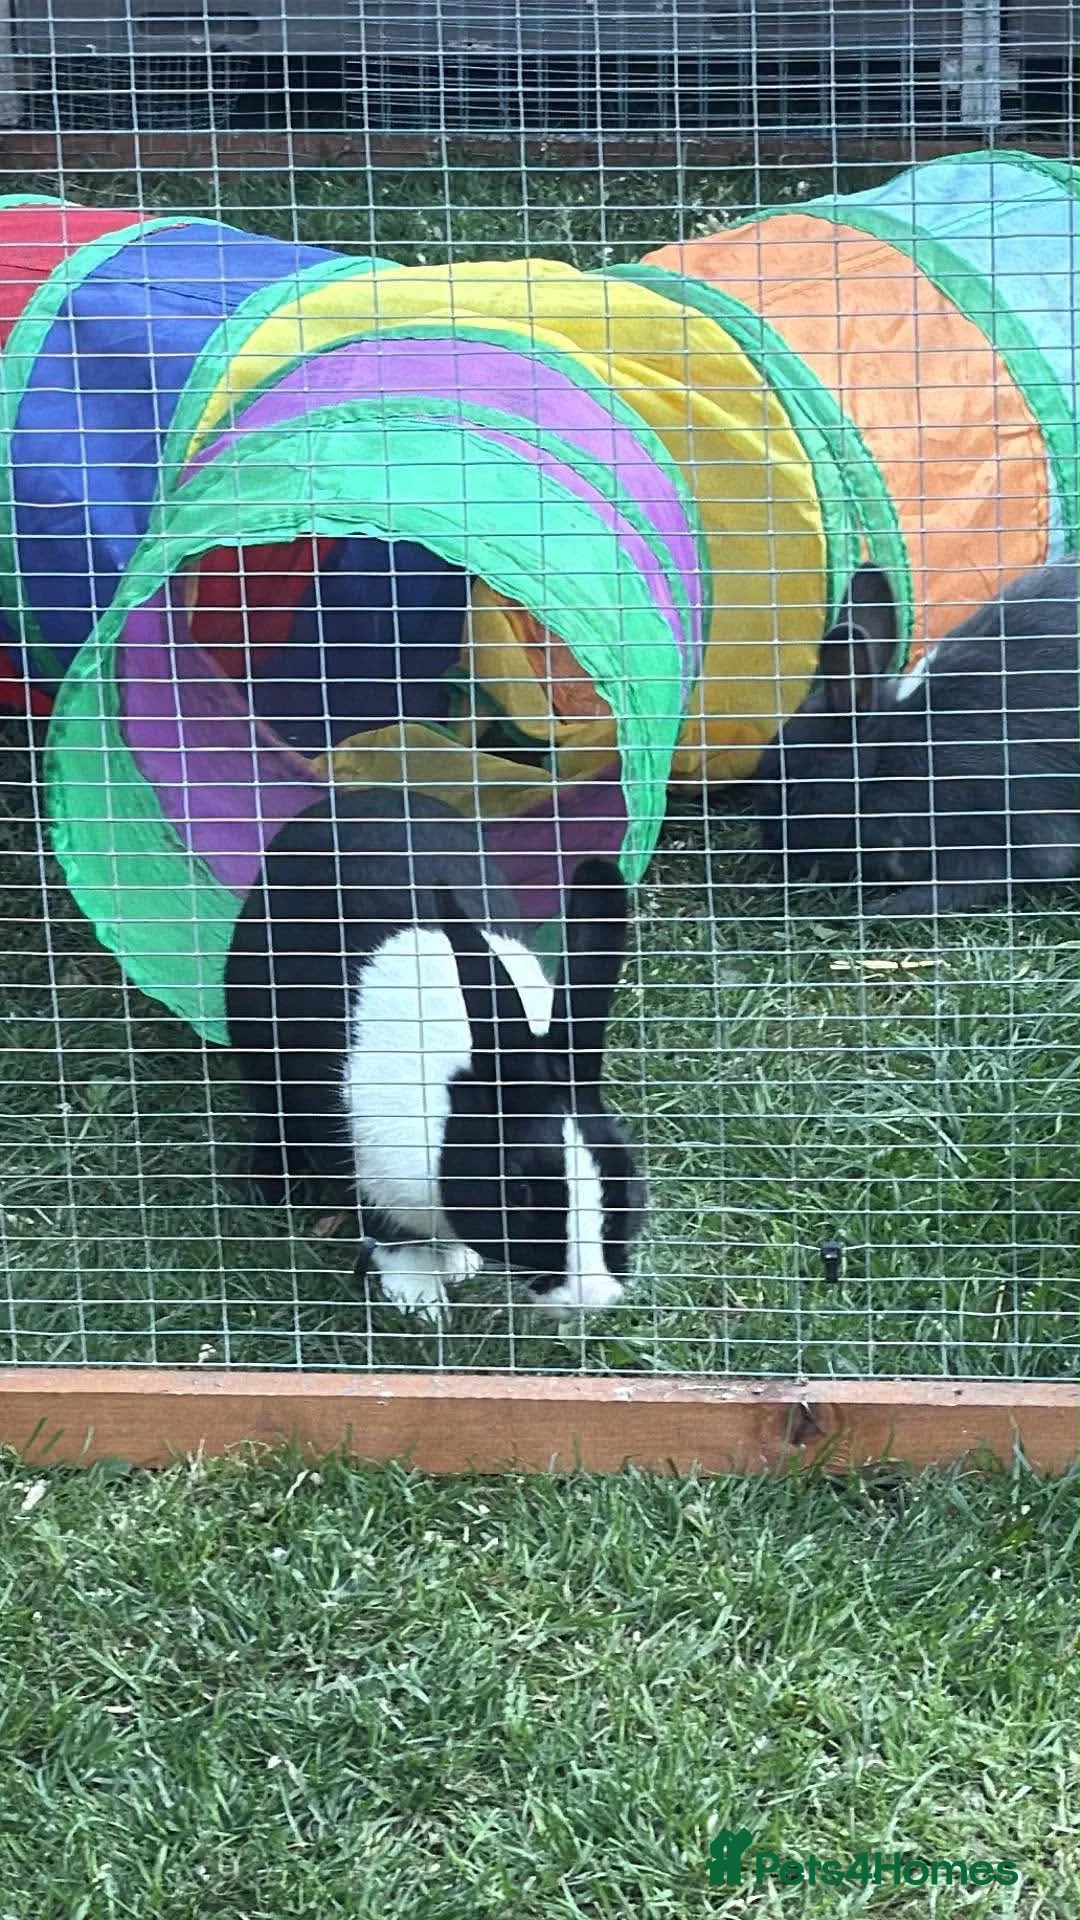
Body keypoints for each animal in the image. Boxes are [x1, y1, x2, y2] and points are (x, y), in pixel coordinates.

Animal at [224, 786, 645, 1318]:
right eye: (520, 1190)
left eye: (623, 1175)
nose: (590, 1299)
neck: (454, 1105)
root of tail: (358, 798)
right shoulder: (368, 1166)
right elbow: (391, 1238)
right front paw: (421, 1301)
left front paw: (460, 1263)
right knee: (268, 1108)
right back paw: (272, 1187)